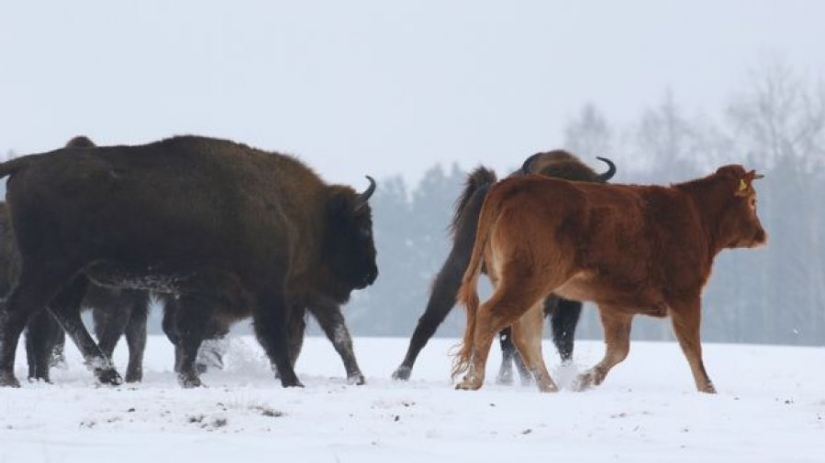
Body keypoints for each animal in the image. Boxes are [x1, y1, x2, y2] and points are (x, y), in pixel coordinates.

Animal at [0, 135, 378, 388]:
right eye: (362, 227)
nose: (371, 274)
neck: (291, 207)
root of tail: (30, 162)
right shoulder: (266, 291)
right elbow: (272, 337)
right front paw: (292, 381)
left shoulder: (201, 292)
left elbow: (191, 334)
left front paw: (191, 379)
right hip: (50, 267)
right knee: (19, 311)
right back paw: (12, 379)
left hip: (73, 273)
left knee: (62, 310)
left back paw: (109, 375)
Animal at [391, 150, 616, 383]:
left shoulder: (567, 298)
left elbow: (564, 337)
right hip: (460, 265)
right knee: (432, 317)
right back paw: (402, 372)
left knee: (507, 334)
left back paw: (511, 377)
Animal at [453, 165, 767, 393]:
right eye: (753, 202)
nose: (762, 235)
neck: (695, 215)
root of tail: (511, 185)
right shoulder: (685, 293)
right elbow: (692, 346)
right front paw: (708, 388)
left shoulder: (616, 304)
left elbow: (619, 350)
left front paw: (584, 380)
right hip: (527, 280)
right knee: (490, 316)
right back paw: (472, 380)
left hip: (530, 285)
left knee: (525, 333)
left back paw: (550, 386)